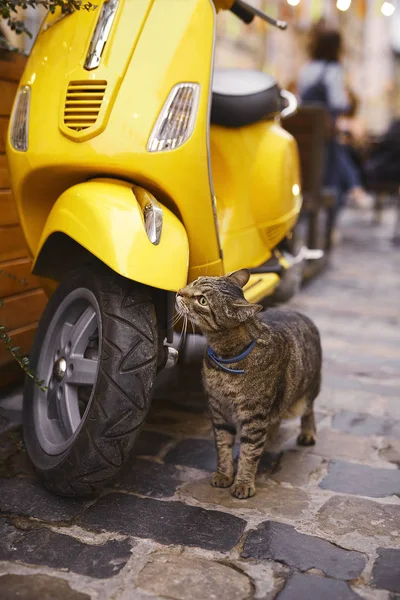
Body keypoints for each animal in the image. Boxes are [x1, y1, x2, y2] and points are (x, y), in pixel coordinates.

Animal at [175, 270, 322, 500]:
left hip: (302, 397)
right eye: (195, 281)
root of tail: (301, 315)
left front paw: (243, 483)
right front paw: (224, 474)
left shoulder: (254, 416)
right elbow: (223, 445)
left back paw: (307, 433)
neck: (224, 359)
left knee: (308, 410)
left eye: (202, 300)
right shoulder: (219, 410)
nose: (179, 291)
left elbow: (249, 452)